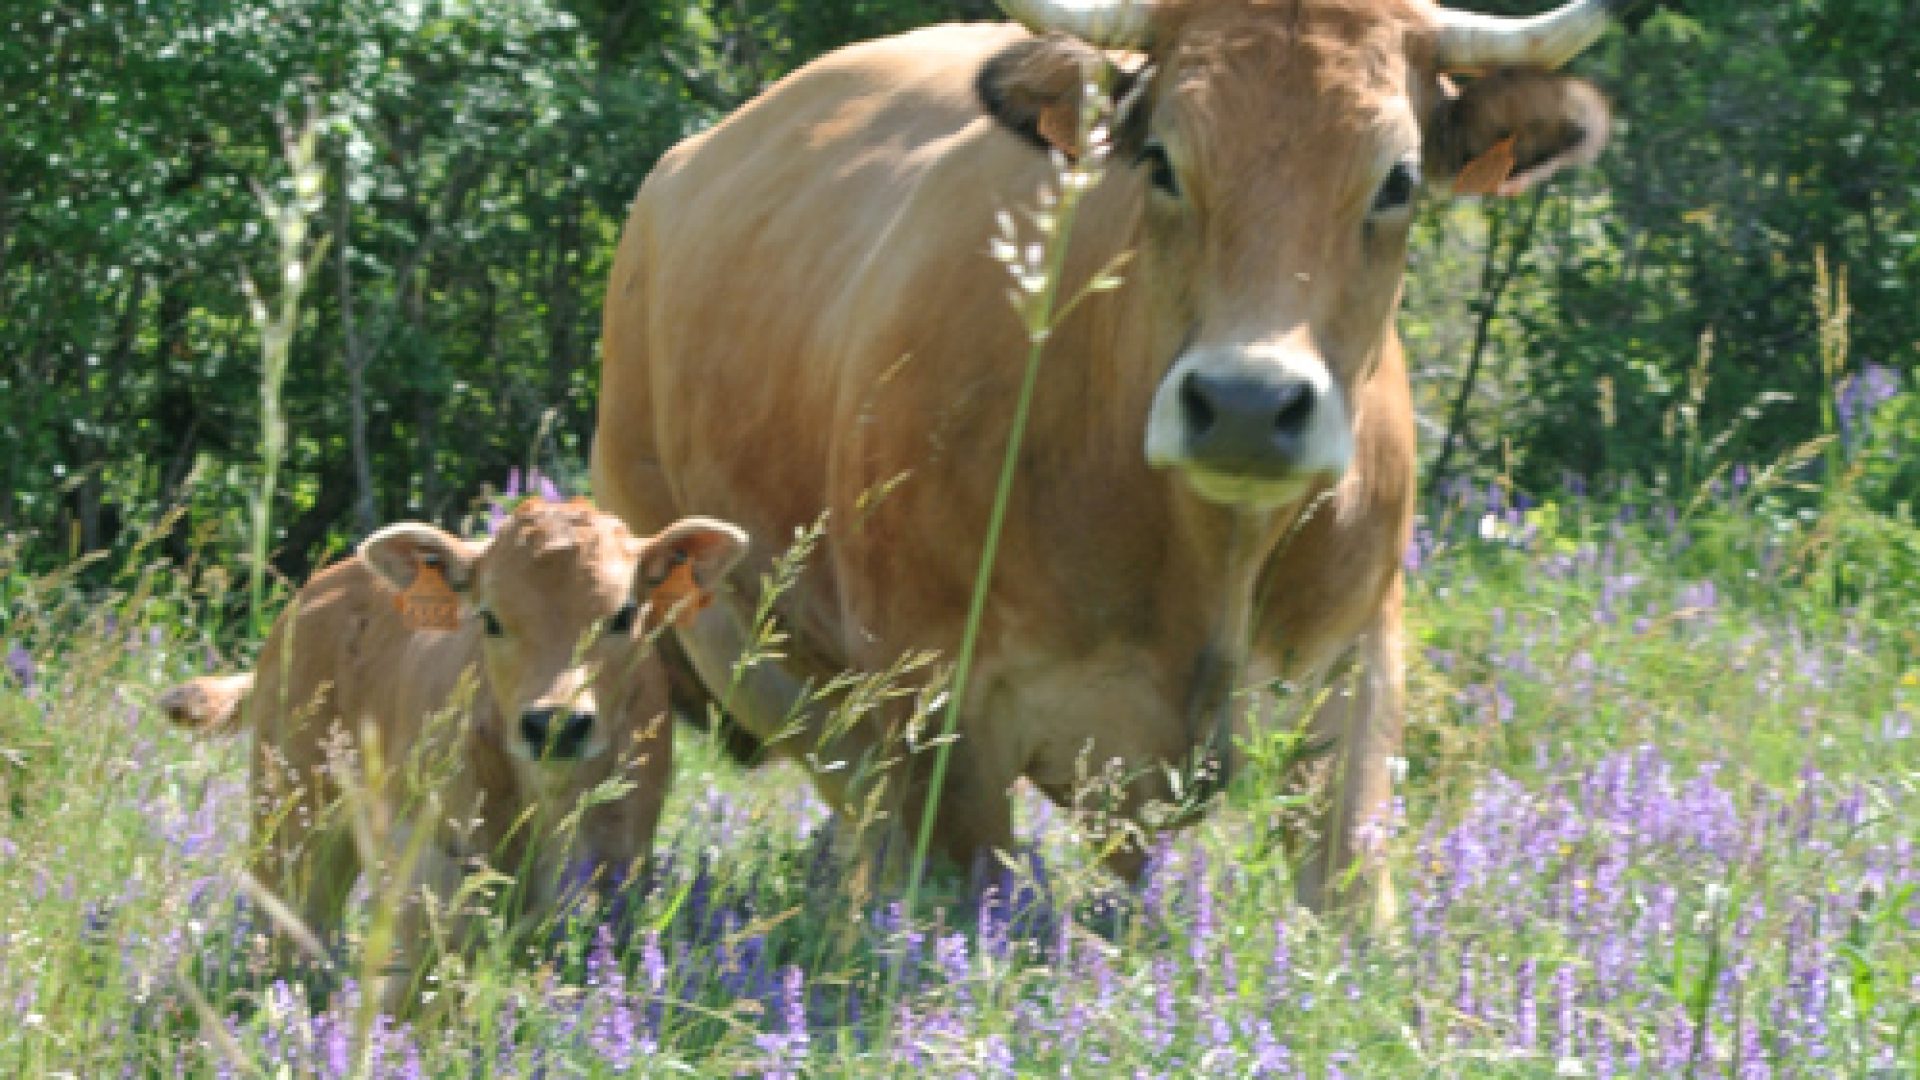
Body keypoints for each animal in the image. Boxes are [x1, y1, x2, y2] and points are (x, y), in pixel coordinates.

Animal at [159, 499, 741, 999]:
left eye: (623, 615)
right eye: (490, 617)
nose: (554, 724)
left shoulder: (612, 863)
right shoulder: (432, 861)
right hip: (292, 817)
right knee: (293, 928)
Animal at [591, 0, 1628, 914]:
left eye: (1399, 179)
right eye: (1161, 160)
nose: (1246, 405)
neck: (1207, 555)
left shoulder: (1353, 683)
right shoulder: (941, 712)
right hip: (742, 647)